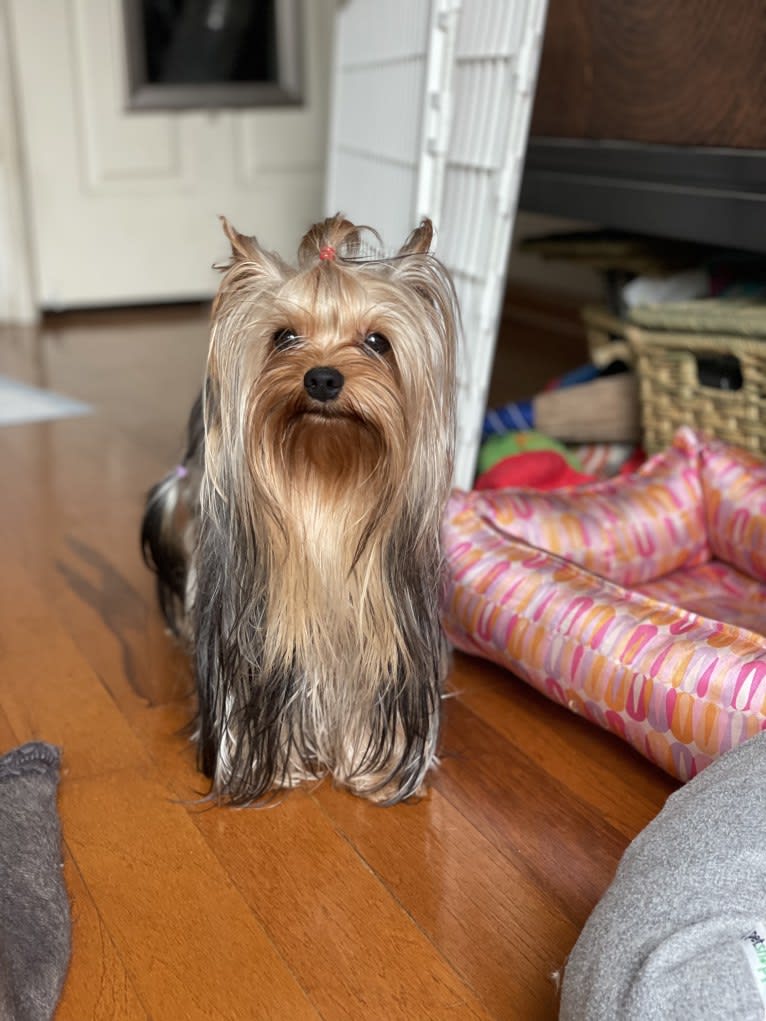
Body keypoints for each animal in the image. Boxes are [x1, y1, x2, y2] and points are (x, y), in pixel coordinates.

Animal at [141, 217, 459, 804]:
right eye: (284, 336)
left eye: (377, 341)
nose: (323, 378)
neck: (324, 477)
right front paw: (280, 768)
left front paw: (366, 770)